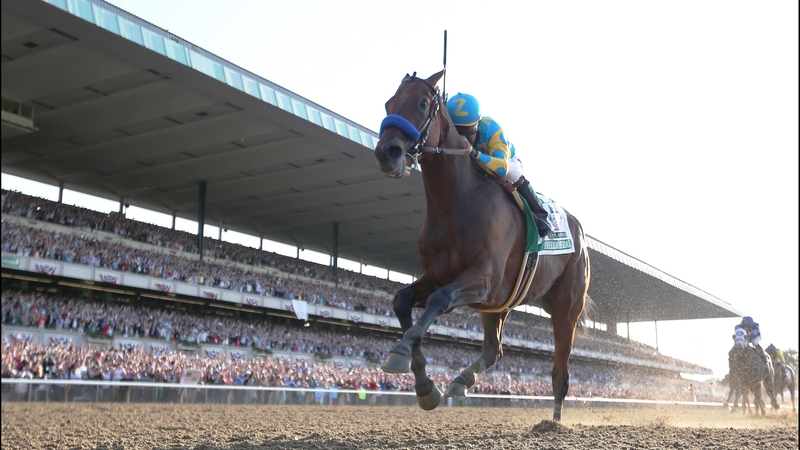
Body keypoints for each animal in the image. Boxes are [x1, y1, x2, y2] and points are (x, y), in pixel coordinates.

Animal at [373, 70, 591, 421]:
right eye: (388, 103)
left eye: (422, 103)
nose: (387, 153)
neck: (456, 202)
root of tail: (579, 231)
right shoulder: (441, 277)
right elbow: (402, 299)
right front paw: (424, 386)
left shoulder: (484, 279)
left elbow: (439, 299)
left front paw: (401, 349)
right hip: (499, 305)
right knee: (494, 350)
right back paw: (461, 380)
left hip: (565, 307)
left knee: (561, 371)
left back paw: (554, 423)